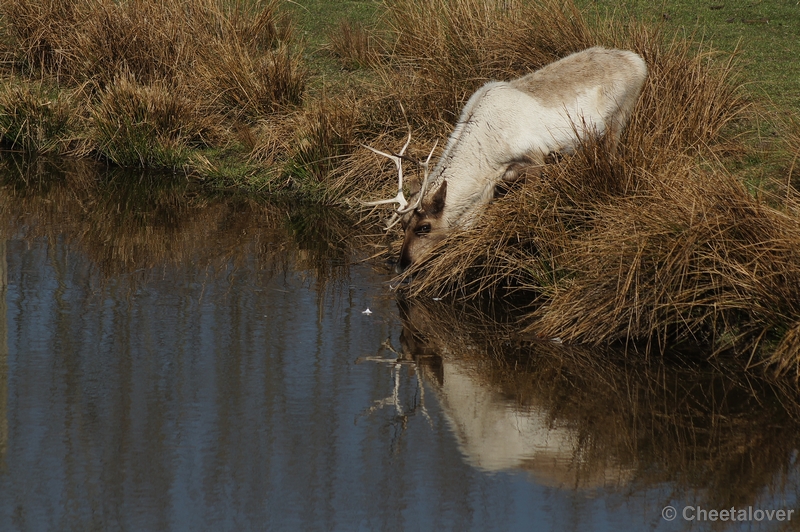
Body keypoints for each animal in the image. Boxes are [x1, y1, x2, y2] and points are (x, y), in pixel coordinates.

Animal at [366, 46, 648, 270]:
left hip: (618, 119)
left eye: (424, 227)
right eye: (402, 225)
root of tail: (638, 61)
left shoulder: (536, 158)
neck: (489, 159)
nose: (402, 264)